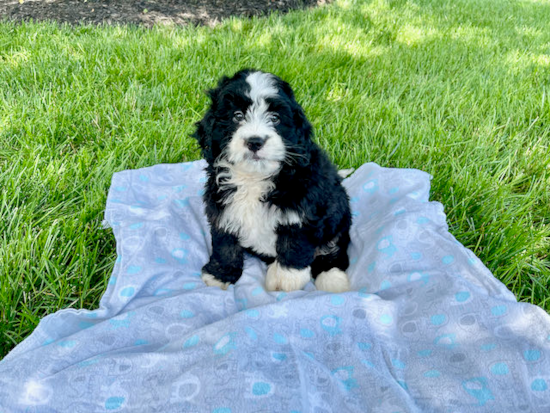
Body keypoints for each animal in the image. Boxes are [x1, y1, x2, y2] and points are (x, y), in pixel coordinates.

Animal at [194, 68, 354, 292]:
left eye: (276, 118)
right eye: (237, 116)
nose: (255, 141)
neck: (255, 178)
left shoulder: (303, 212)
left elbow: (293, 244)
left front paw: (286, 278)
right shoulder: (222, 209)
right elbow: (225, 244)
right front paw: (220, 275)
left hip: (338, 216)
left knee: (333, 250)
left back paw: (332, 280)